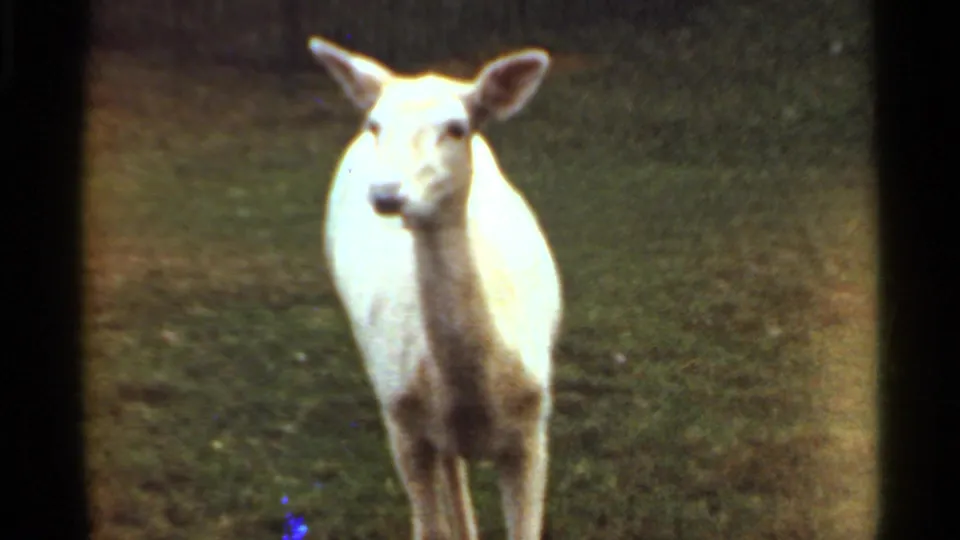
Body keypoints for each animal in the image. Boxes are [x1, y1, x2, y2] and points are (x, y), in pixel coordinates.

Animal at [307, 36, 563, 540]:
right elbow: (429, 525)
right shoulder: (404, 425)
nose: (387, 194)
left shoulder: (532, 429)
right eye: (375, 124)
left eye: (457, 128)